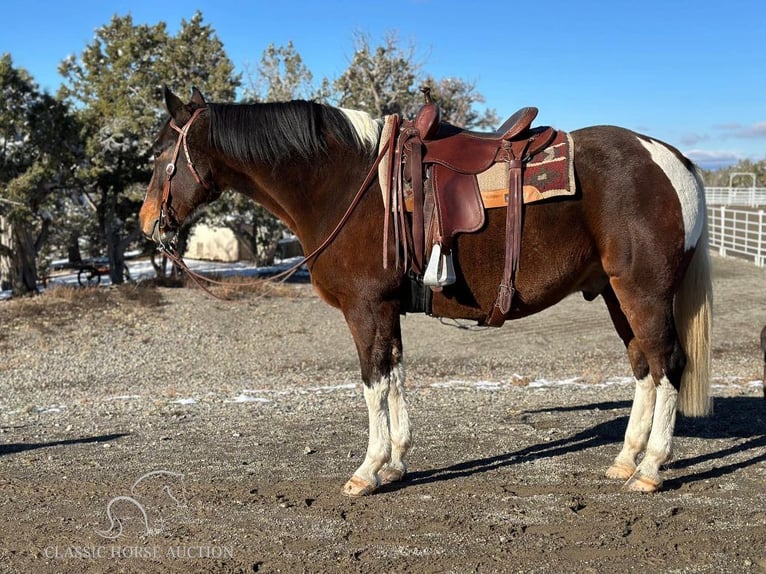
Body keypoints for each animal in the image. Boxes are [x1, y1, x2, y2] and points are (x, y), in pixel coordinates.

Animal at [140, 88, 712, 498]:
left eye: (163, 153)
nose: (148, 222)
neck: (345, 183)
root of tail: (672, 159)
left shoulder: (365, 307)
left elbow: (373, 381)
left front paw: (367, 470)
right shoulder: (386, 309)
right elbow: (393, 375)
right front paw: (396, 461)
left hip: (644, 293)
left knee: (668, 364)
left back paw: (651, 468)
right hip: (617, 294)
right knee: (643, 366)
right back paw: (624, 460)